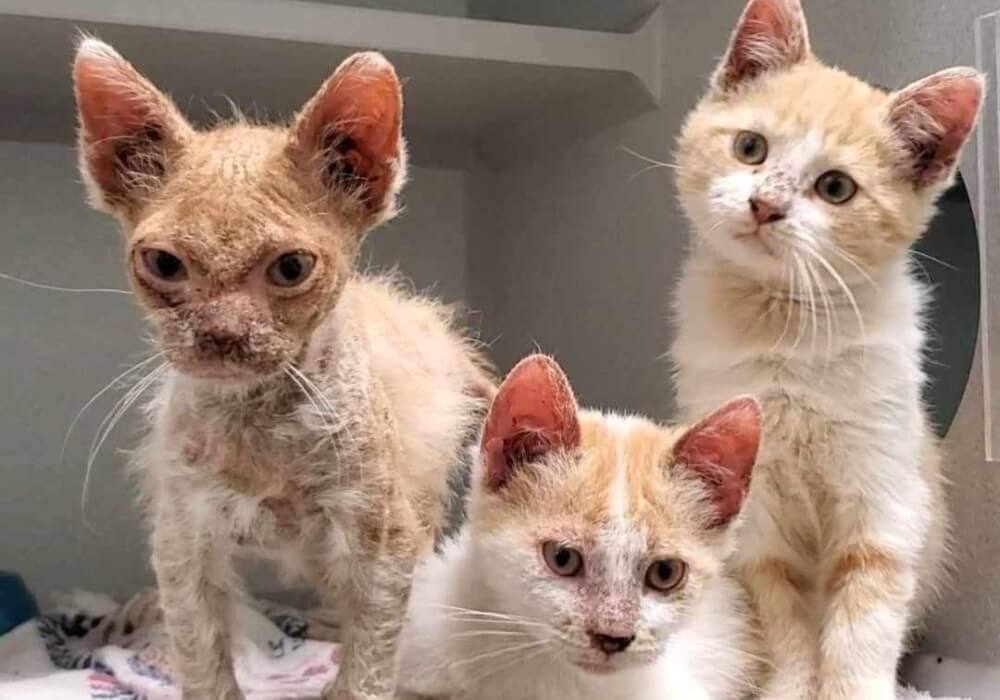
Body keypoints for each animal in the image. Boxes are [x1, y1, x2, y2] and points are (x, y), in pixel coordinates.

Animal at [70, 38, 492, 700]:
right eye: (163, 264)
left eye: (291, 268)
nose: (220, 335)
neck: (262, 425)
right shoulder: (182, 542)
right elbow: (203, 662)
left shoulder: (384, 546)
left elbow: (368, 670)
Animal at [672, 1, 984, 700]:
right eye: (750, 147)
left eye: (836, 188)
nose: (765, 204)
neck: (784, 325)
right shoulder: (757, 516)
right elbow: (784, 622)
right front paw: (788, 688)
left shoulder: (884, 495)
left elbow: (865, 618)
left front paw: (857, 689)